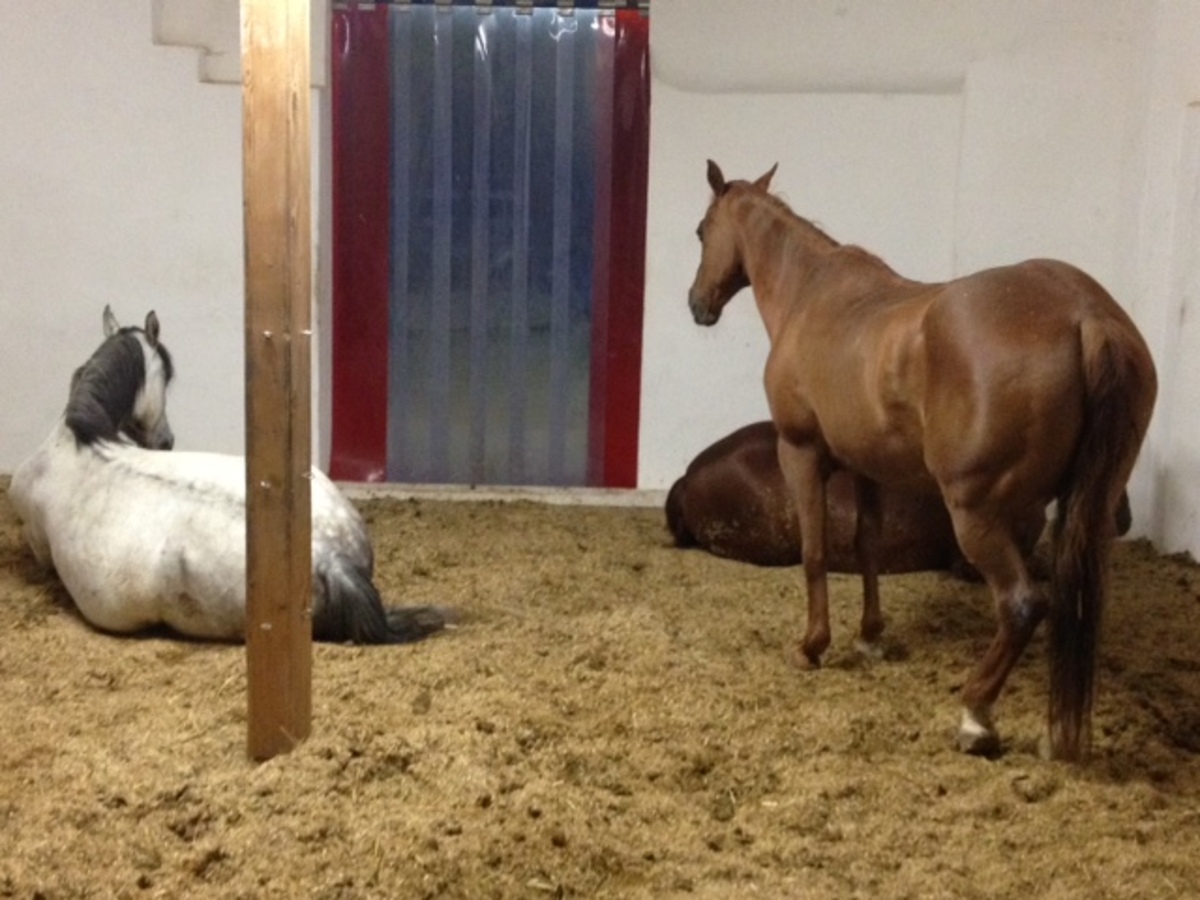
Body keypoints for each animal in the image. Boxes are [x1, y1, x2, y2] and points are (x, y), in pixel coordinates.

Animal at [687, 161, 1157, 760]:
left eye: (702, 231)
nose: (697, 304)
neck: (810, 295)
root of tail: (1085, 314)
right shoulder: (864, 467)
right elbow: (866, 545)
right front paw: (870, 637)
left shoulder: (800, 453)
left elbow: (815, 553)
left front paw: (813, 645)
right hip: (1085, 514)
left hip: (976, 514)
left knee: (1023, 604)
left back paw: (976, 715)